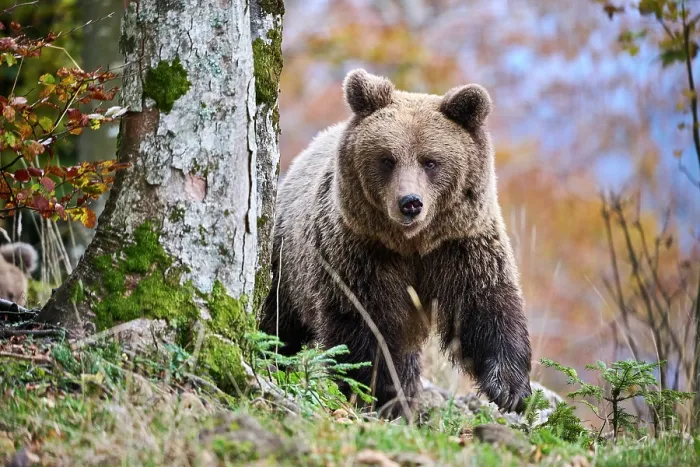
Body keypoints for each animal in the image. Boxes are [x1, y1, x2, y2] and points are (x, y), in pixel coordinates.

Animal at [260, 69, 532, 418]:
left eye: (430, 161)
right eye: (387, 159)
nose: (410, 202)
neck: (412, 245)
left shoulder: (461, 246)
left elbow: (485, 305)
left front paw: (509, 388)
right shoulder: (360, 253)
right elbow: (368, 327)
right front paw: (381, 392)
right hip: (286, 265)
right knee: (277, 323)